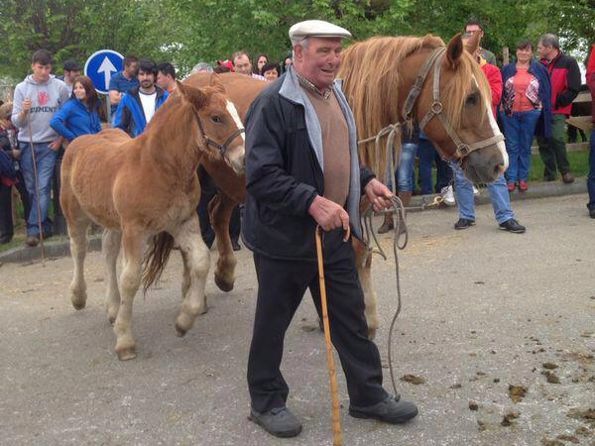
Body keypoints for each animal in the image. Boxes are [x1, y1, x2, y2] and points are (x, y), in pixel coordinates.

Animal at [59, 80, 246, 358]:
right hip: (75, 214)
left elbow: (201, 260)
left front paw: (184, 320)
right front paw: (125, 340)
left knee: (108, 251)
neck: (158, 167)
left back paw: (113, 308)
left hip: (113, 221)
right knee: (79, 249)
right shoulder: (134, 230)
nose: (244, 158)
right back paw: (78, 296)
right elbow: (130, 279)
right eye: (216, 117)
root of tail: (82, 138)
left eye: (234, 110)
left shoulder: (183, 222)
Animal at [186, 32, 508, 334]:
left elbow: (362, 254)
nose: (499, 162)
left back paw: (224, 275)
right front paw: (359, 313)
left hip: (231, 183)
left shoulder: (360, 201)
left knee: (217, 214)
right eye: (471, 97)